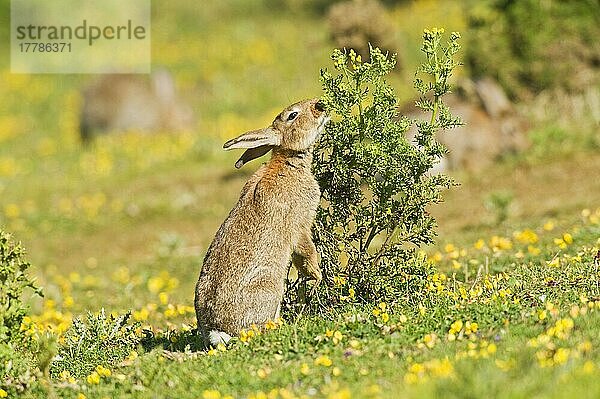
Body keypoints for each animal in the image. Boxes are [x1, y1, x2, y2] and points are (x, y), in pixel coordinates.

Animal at [193, 98, 326, 346]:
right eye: (292, 115)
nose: (320, 105)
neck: (288, 162)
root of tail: (219, 330)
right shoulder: (300, 225)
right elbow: (306, 252)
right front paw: (318, 276)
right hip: (270, 286)